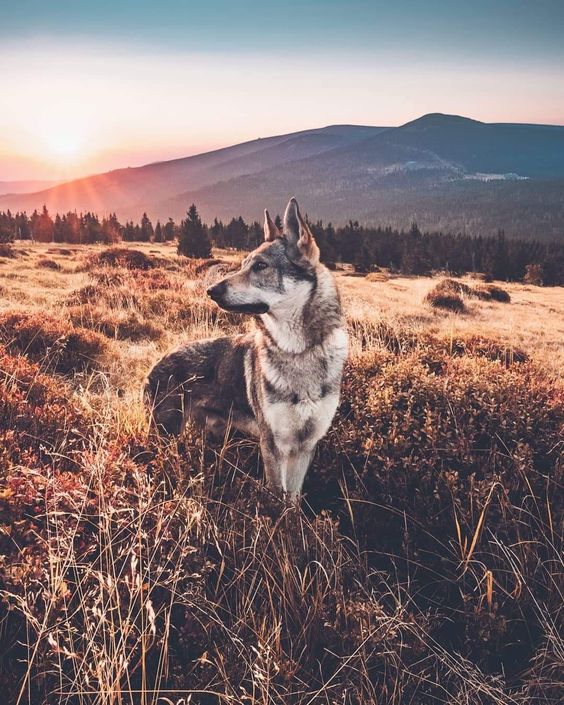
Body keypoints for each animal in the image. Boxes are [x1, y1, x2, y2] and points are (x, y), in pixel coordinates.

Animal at [144, 195, 348, 498]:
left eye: (260, 266)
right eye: (243, 265)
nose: (211, 290)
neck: (297, 352)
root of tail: (154, 365)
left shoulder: (304, 447)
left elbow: (293, 501)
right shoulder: (273, 445)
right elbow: (278, 499)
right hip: (164, 435)